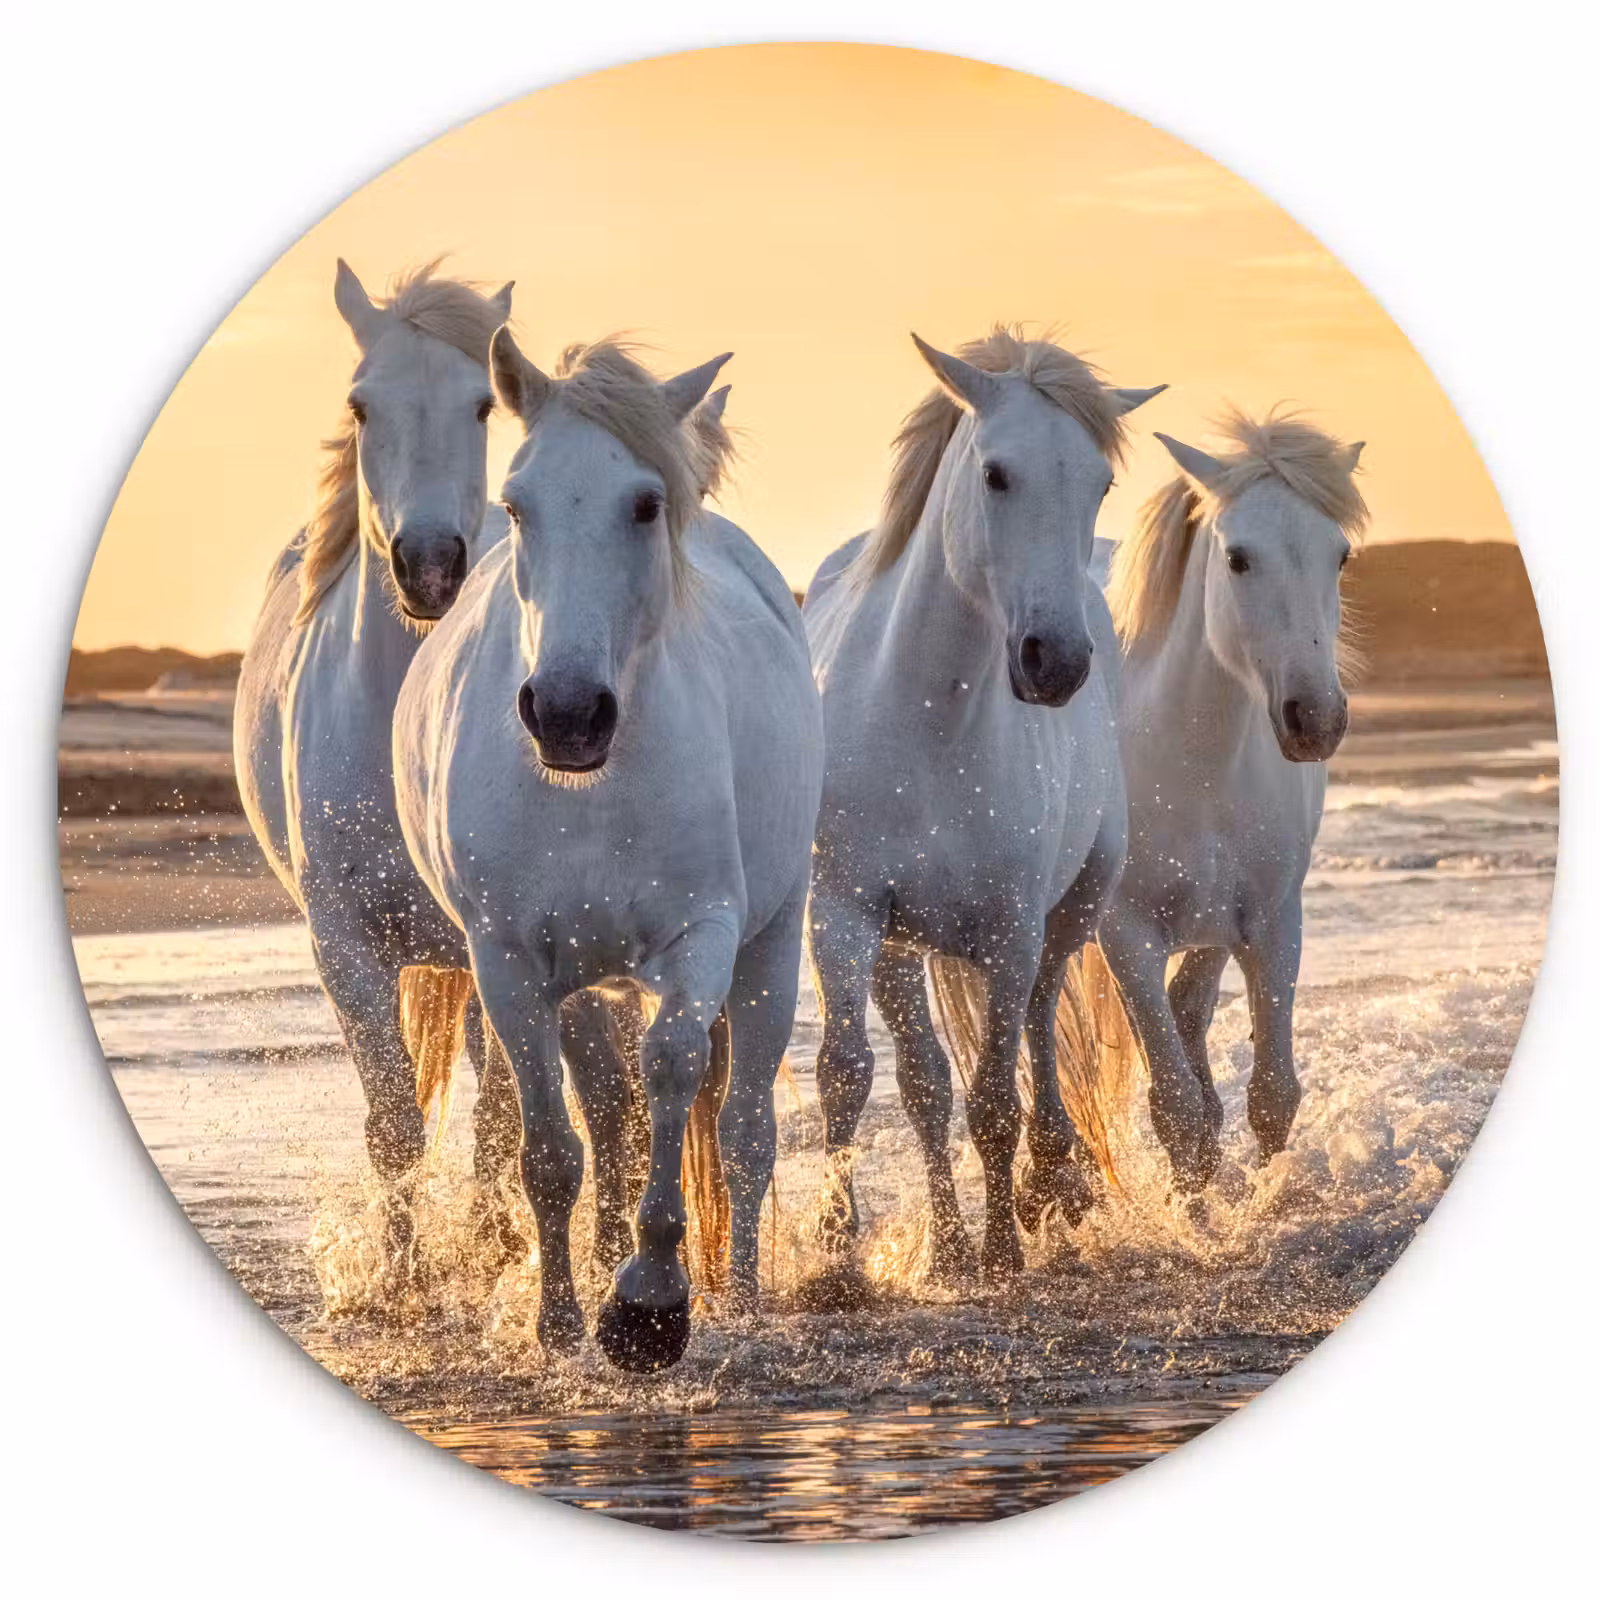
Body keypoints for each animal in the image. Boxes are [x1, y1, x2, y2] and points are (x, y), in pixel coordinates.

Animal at [393, 333, 823, 1370]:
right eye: (517, 504)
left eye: (645, 503)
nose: (566, 712)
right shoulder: (507, 961)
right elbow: (552, 1148)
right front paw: (558, 1323)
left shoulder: (702, 937)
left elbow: (672, 1070)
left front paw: (649, 1303)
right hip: (587, 983)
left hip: (771, 945)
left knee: (745, 1133)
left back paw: (743, 1297)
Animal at [802, 327, 1166, 1284]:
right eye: (997, 473)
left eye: (1099, 482)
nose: (1055, 662)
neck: (928, 717)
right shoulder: (845, 914)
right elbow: (850, 1073)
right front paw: (837, 1260)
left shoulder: (1008, 930)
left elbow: (997, 1095)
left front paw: (1005, 1246)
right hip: (901, 948)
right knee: (926, 1082)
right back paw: (950, 1244)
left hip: (1068, 912)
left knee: (1037, 1026)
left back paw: (1049, 1184)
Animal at [1080, 408, 1367, 1191]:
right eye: (1238, 558)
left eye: (1340, 556)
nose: (1316, 719)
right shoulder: (1127, 937)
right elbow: (1175, 1110)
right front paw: (1200, 1215)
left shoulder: (1271, 922)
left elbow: (1272, 1095)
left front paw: (1263, 1202)